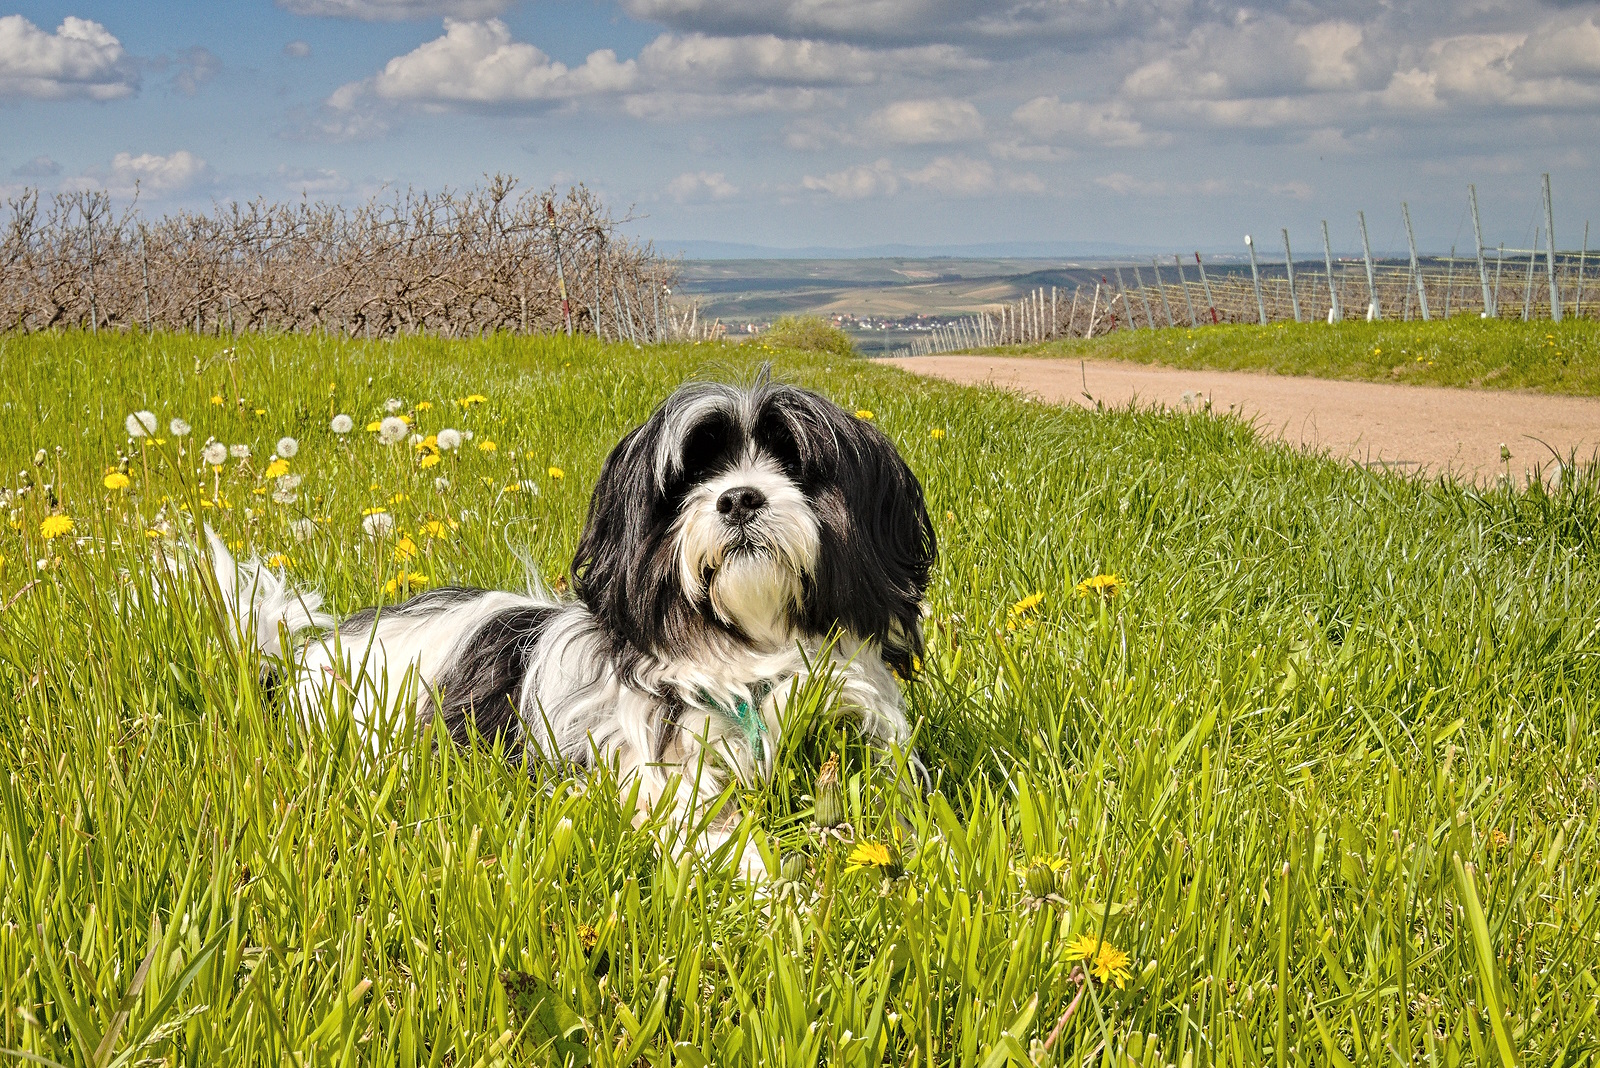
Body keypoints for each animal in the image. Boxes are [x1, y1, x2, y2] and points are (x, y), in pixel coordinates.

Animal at [212, 375, 934, 869]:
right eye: (690, 478)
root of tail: (308, 653)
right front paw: (785, 899)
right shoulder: (659, 781)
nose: (737, 498)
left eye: (795, 466)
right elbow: (724, 841)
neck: (747, 653)